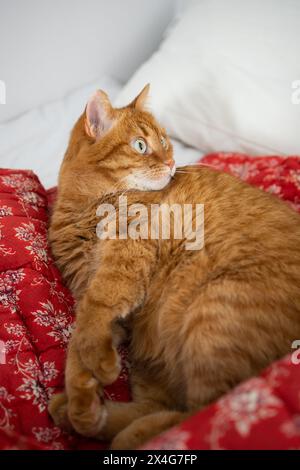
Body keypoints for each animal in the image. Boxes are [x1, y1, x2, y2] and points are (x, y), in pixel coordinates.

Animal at [48, 86, 300, 450]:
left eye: (165, 141)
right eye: (141, 145)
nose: (171, 162)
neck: (89, 205)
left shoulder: (121, 268)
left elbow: (91, 322)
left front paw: (98, 372)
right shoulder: (94, 297)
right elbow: (77, 346)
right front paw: (82, 400)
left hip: (216, 311)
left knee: (205, 410)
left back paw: (130, 435)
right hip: (150, 356)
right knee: (164, 405)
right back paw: (81, 414)